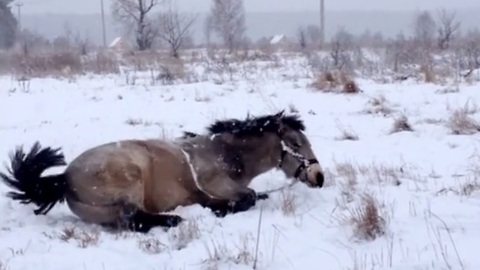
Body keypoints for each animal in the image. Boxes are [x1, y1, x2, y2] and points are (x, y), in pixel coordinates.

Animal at [0, 110, 324, 233]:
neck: (223, 153)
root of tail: (65, 178)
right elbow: (249, 197)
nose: (319, 177)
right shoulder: (218, 186)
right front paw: (220, 209)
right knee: (133, 218)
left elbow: (256, 196)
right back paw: (173, 219)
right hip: (130, 178)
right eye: (296, 143)